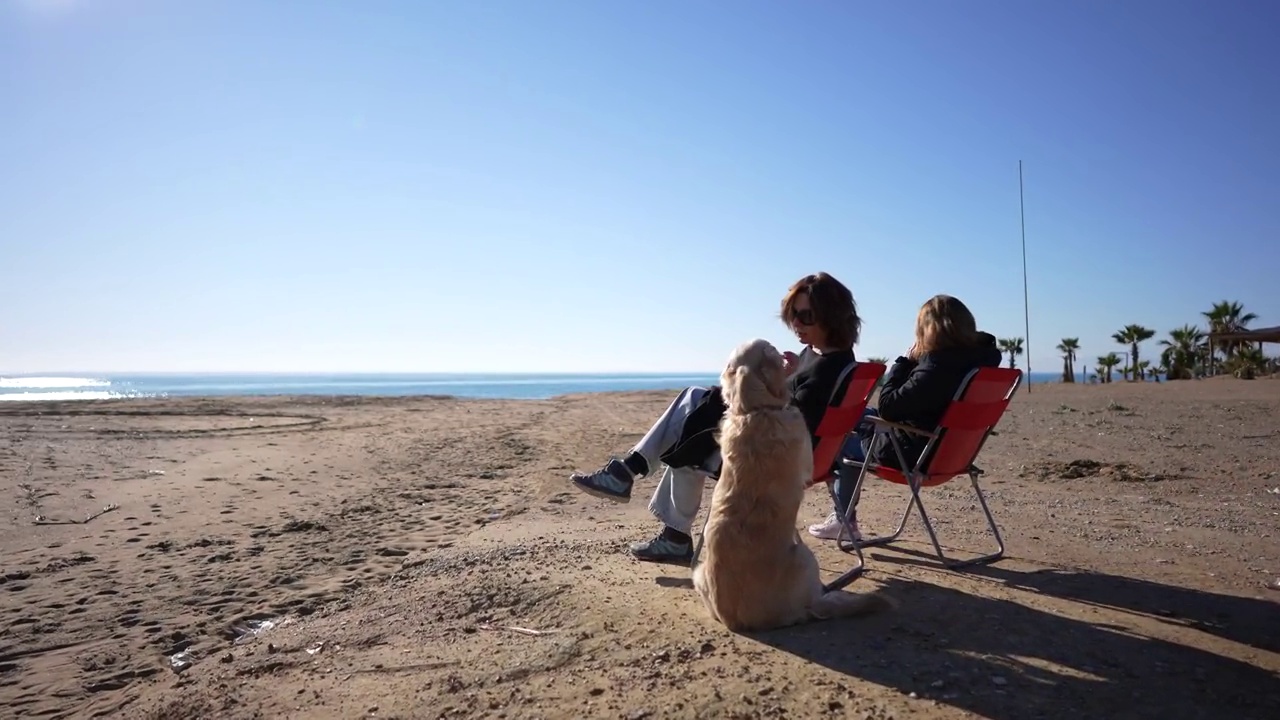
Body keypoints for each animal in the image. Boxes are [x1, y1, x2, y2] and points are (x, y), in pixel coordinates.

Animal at [691, 335, 890, 627]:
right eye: (771, 349)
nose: (786, 350)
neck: (754, 410)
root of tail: (734, 621)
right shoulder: (807, 457)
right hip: (806, 557)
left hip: (698, 572)